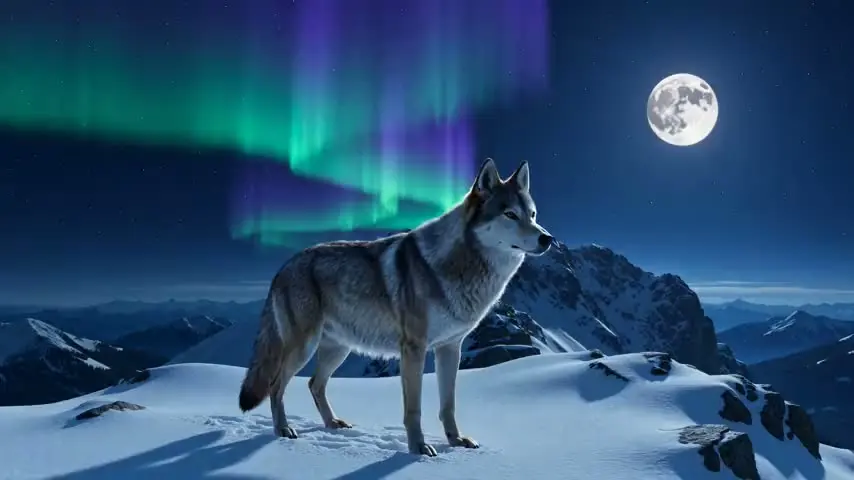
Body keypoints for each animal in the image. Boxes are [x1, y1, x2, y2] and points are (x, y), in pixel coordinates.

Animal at [238, 158, 553, 456]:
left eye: (533, 215)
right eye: (510, 214)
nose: (547, 238)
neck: (458, 266)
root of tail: (284, 267)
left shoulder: (450, 348)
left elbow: (448, 405)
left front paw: (456, 441)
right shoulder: (413, 349)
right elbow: (414, 409)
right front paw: (419, 449)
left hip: (338, 349)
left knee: (314, 384)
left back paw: (332, 424)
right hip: (305, 348)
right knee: (276, 385)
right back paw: (283, 430)